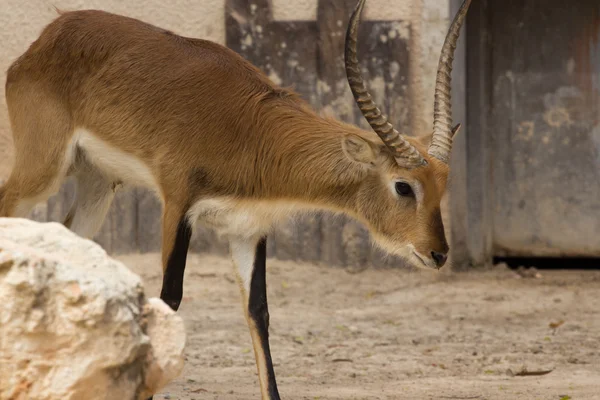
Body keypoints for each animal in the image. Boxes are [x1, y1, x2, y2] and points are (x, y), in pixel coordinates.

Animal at [0, 0, 472, 398]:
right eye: (403, 185)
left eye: (443, 185)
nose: (438, 253)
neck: (251, 131)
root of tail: (52, 32)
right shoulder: (178, 205)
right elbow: (169, 299)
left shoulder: (247, 228)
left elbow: (258, 311)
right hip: (42, 169)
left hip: (98, 185)